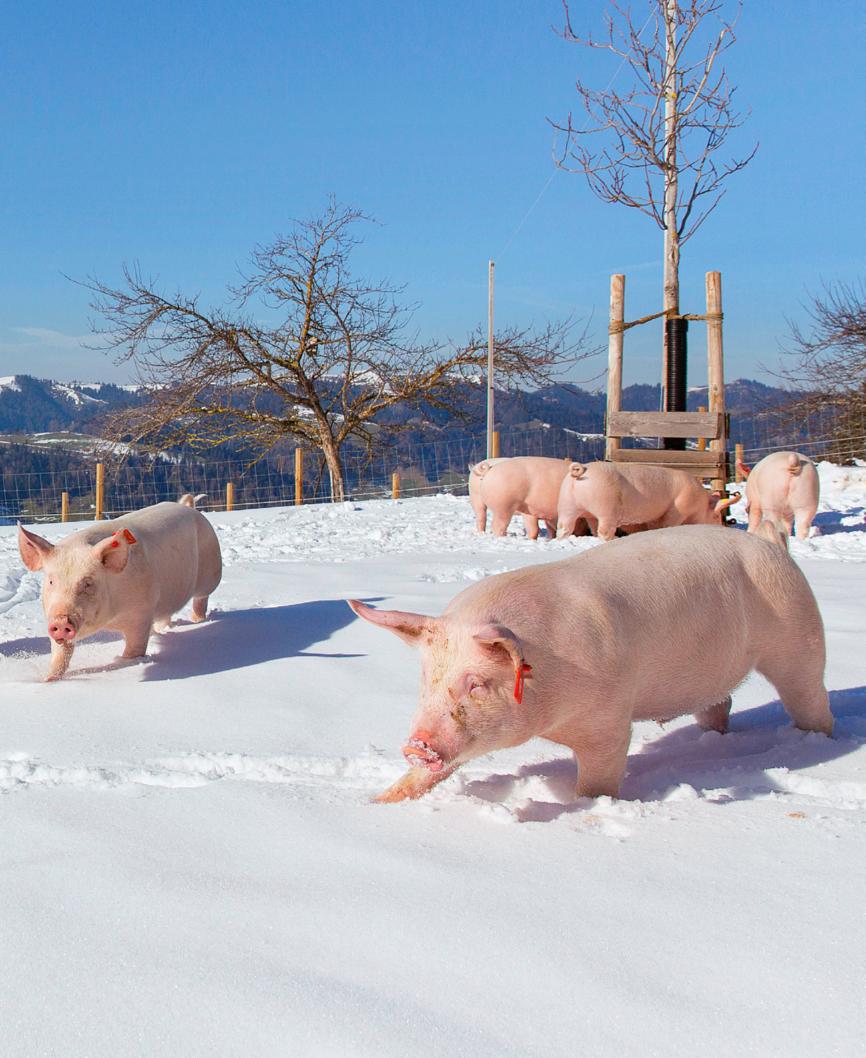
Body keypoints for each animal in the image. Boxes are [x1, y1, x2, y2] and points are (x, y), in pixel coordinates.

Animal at [18, 500, 222, 681]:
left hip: (211, 570)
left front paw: (125, 663)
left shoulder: (141, 612)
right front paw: (47, 680)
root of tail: (191, 510)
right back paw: (161, 631)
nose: (61, 621)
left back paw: (198, 620)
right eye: (51, 581)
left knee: (201, 598)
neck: (110, 621)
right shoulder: (51, 614)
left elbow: (134, 650)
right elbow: (60, 654)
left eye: (88, 583)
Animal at [349, 524, 831, 803]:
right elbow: (433, 773)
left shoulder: (609, 720)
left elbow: (600, 779)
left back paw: (815, 743)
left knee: (811, 694)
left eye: (477, 683)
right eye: (426, 679)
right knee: (719, 705)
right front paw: (377, 804)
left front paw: (587, 807)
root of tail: (769, 541)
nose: (416, 745)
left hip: (797, 633)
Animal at [556, 461, 739, 542]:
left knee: (566, 528)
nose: (721, 527)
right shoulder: (678, 509)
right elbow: (668, 524)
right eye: (716, 516)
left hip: (567, 504)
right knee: (604, 530)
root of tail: (582, 471)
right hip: (606, 508)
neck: (700, 503)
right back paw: (614, 539)